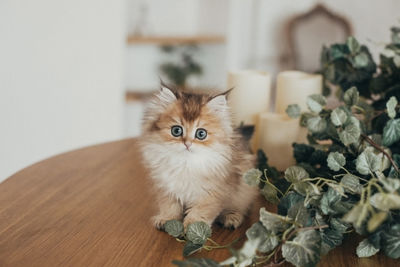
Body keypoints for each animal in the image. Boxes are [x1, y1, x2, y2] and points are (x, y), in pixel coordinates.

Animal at [139, 85, 258, 230]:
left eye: (201, 134)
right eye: (176, 131)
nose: (187, 144)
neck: (185, 163)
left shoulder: (212, 193)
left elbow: (200, 211)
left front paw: (194, 227)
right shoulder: (166, 187)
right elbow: (169, 207)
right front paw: (167, 219)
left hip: (244, 190)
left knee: (240, 207)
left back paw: (231, 217)